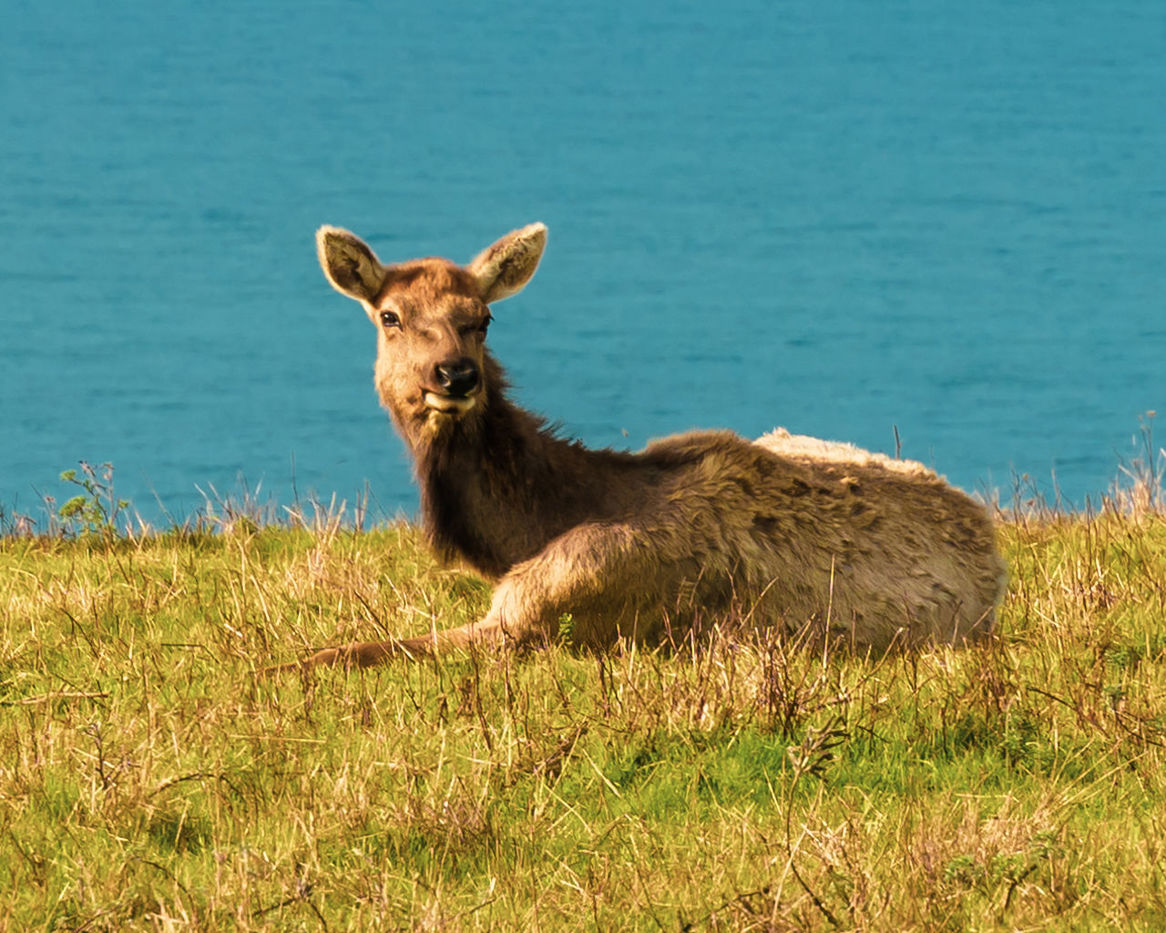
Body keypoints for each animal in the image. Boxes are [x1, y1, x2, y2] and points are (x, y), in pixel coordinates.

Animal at [293, 222, 1012, 667]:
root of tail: (991, 545)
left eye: (484, 318)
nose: (455, 374)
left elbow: (341, 653)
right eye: (390, 316)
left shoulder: (548, 609)